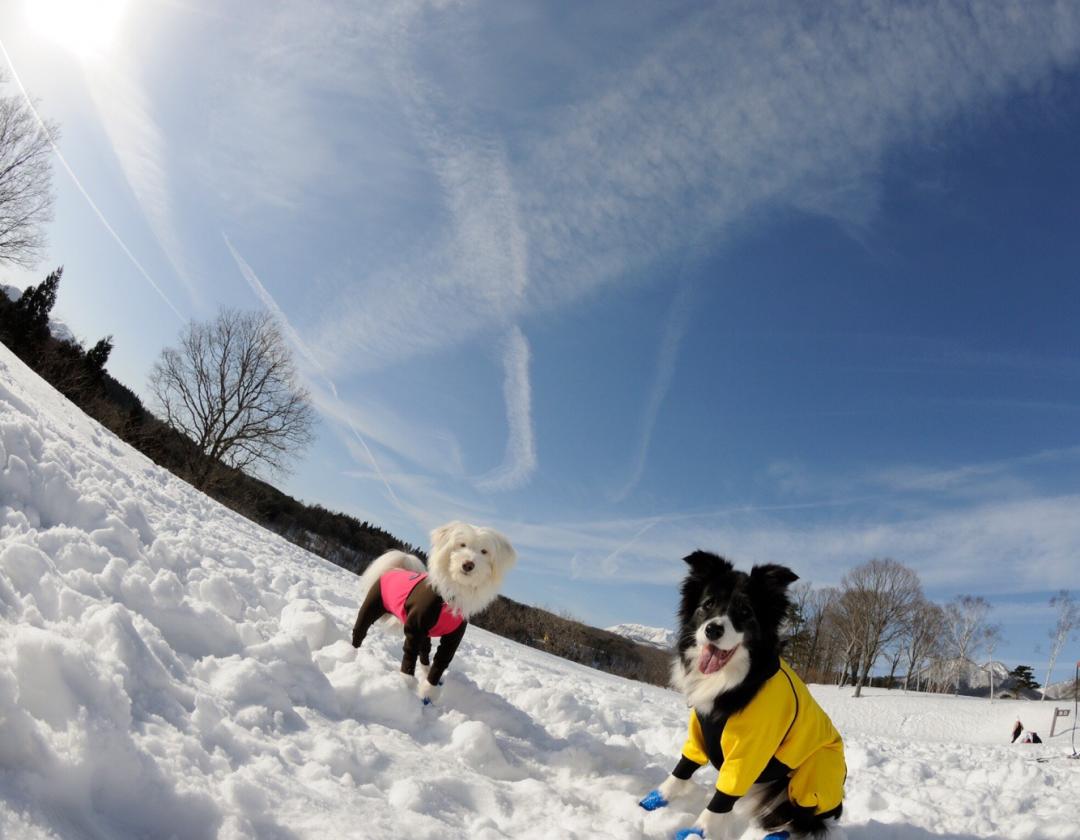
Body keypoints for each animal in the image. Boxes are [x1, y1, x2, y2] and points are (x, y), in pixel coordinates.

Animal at [347, 520, 511, 703]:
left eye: (484, 551)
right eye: (462, 545)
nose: (468, 564)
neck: (451, 595)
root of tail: (396, 569)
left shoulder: (452, 638)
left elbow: (440, 662)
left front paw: (429, 690)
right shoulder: (414, 627)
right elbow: (410, 653)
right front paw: (407, 681)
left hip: (426, 633)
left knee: (425, 652)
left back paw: (425, 671)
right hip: (371, 608)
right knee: (360, 630)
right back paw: (352, 652)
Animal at [639, 550, 842, 837]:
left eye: (745, 611)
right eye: (708, 604)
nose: (713, 629)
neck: (734, 682)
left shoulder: (750, 751)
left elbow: (723, 796)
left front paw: (699, 831)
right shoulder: (700, 731)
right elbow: (685, 765)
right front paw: (658, 798)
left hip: (811, 777)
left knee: (797, 818)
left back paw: (776, 834)